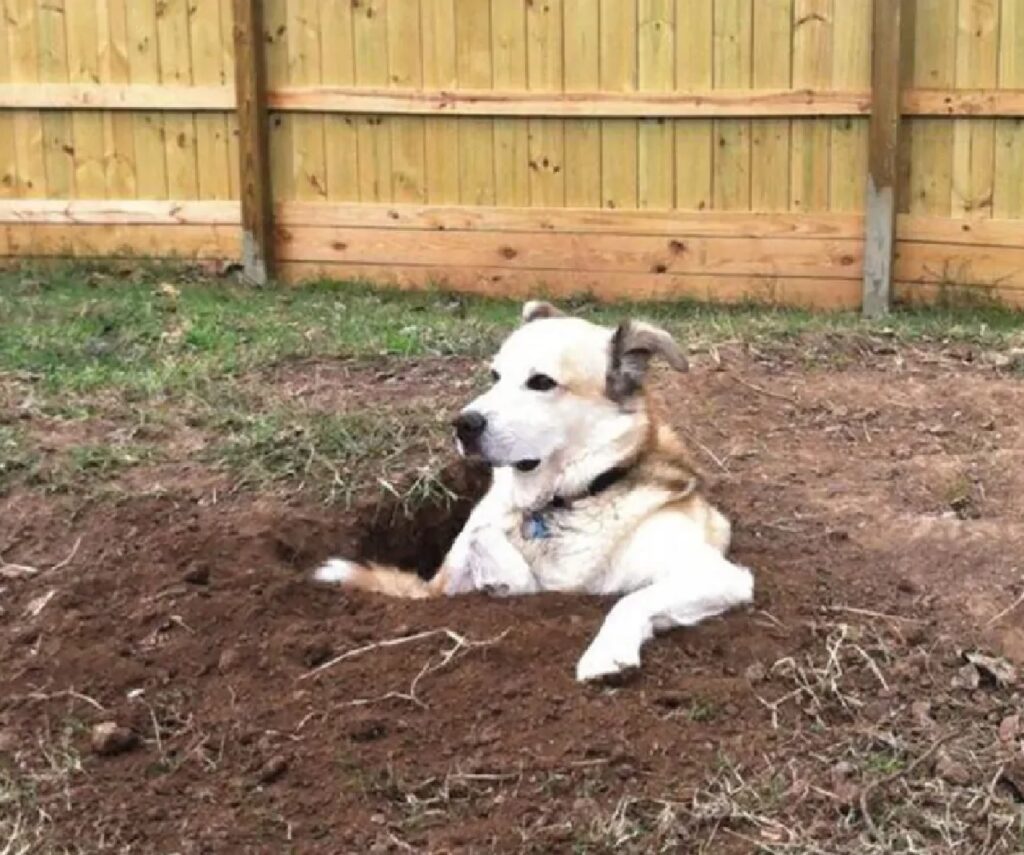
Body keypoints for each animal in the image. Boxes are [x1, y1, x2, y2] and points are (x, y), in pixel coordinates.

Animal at [315, 301, 757, 684]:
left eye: (542, 382)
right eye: (494, 376)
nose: (463, 424)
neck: (564, 501)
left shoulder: (718, 575)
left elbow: (630, 600)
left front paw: (606, 653)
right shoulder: (446, 583)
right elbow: (494, 547)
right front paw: (502, 577)